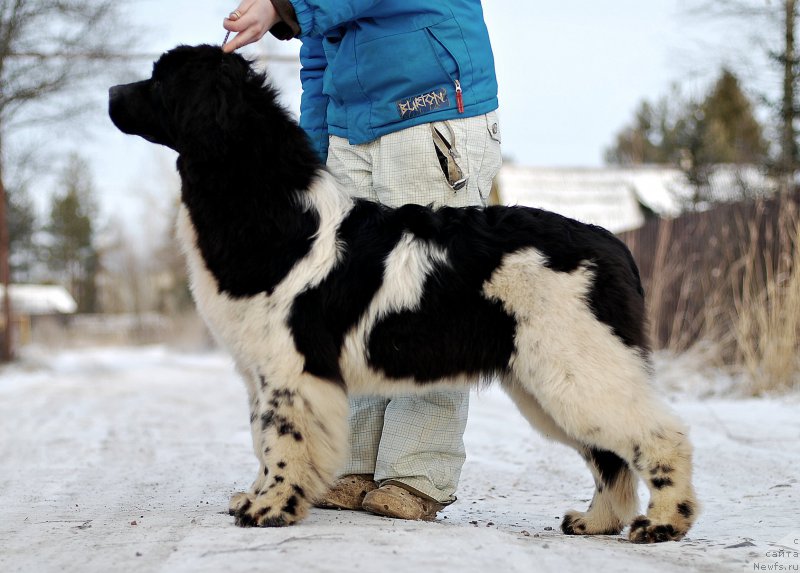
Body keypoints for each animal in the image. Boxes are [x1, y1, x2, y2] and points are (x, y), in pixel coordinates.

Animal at [109, 44, 696, 540]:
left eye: (160, 80)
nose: (112, 92)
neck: (267, 203)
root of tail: (611, 242)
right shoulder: (262, 368)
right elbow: (262, 437)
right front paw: (254, 498)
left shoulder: (293, 369)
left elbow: (282, 441)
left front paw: (271, 508)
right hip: (547, 380)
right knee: (609, 455)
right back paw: (597, 522)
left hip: (577, 369)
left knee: (659, 435)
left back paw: (664, 522)